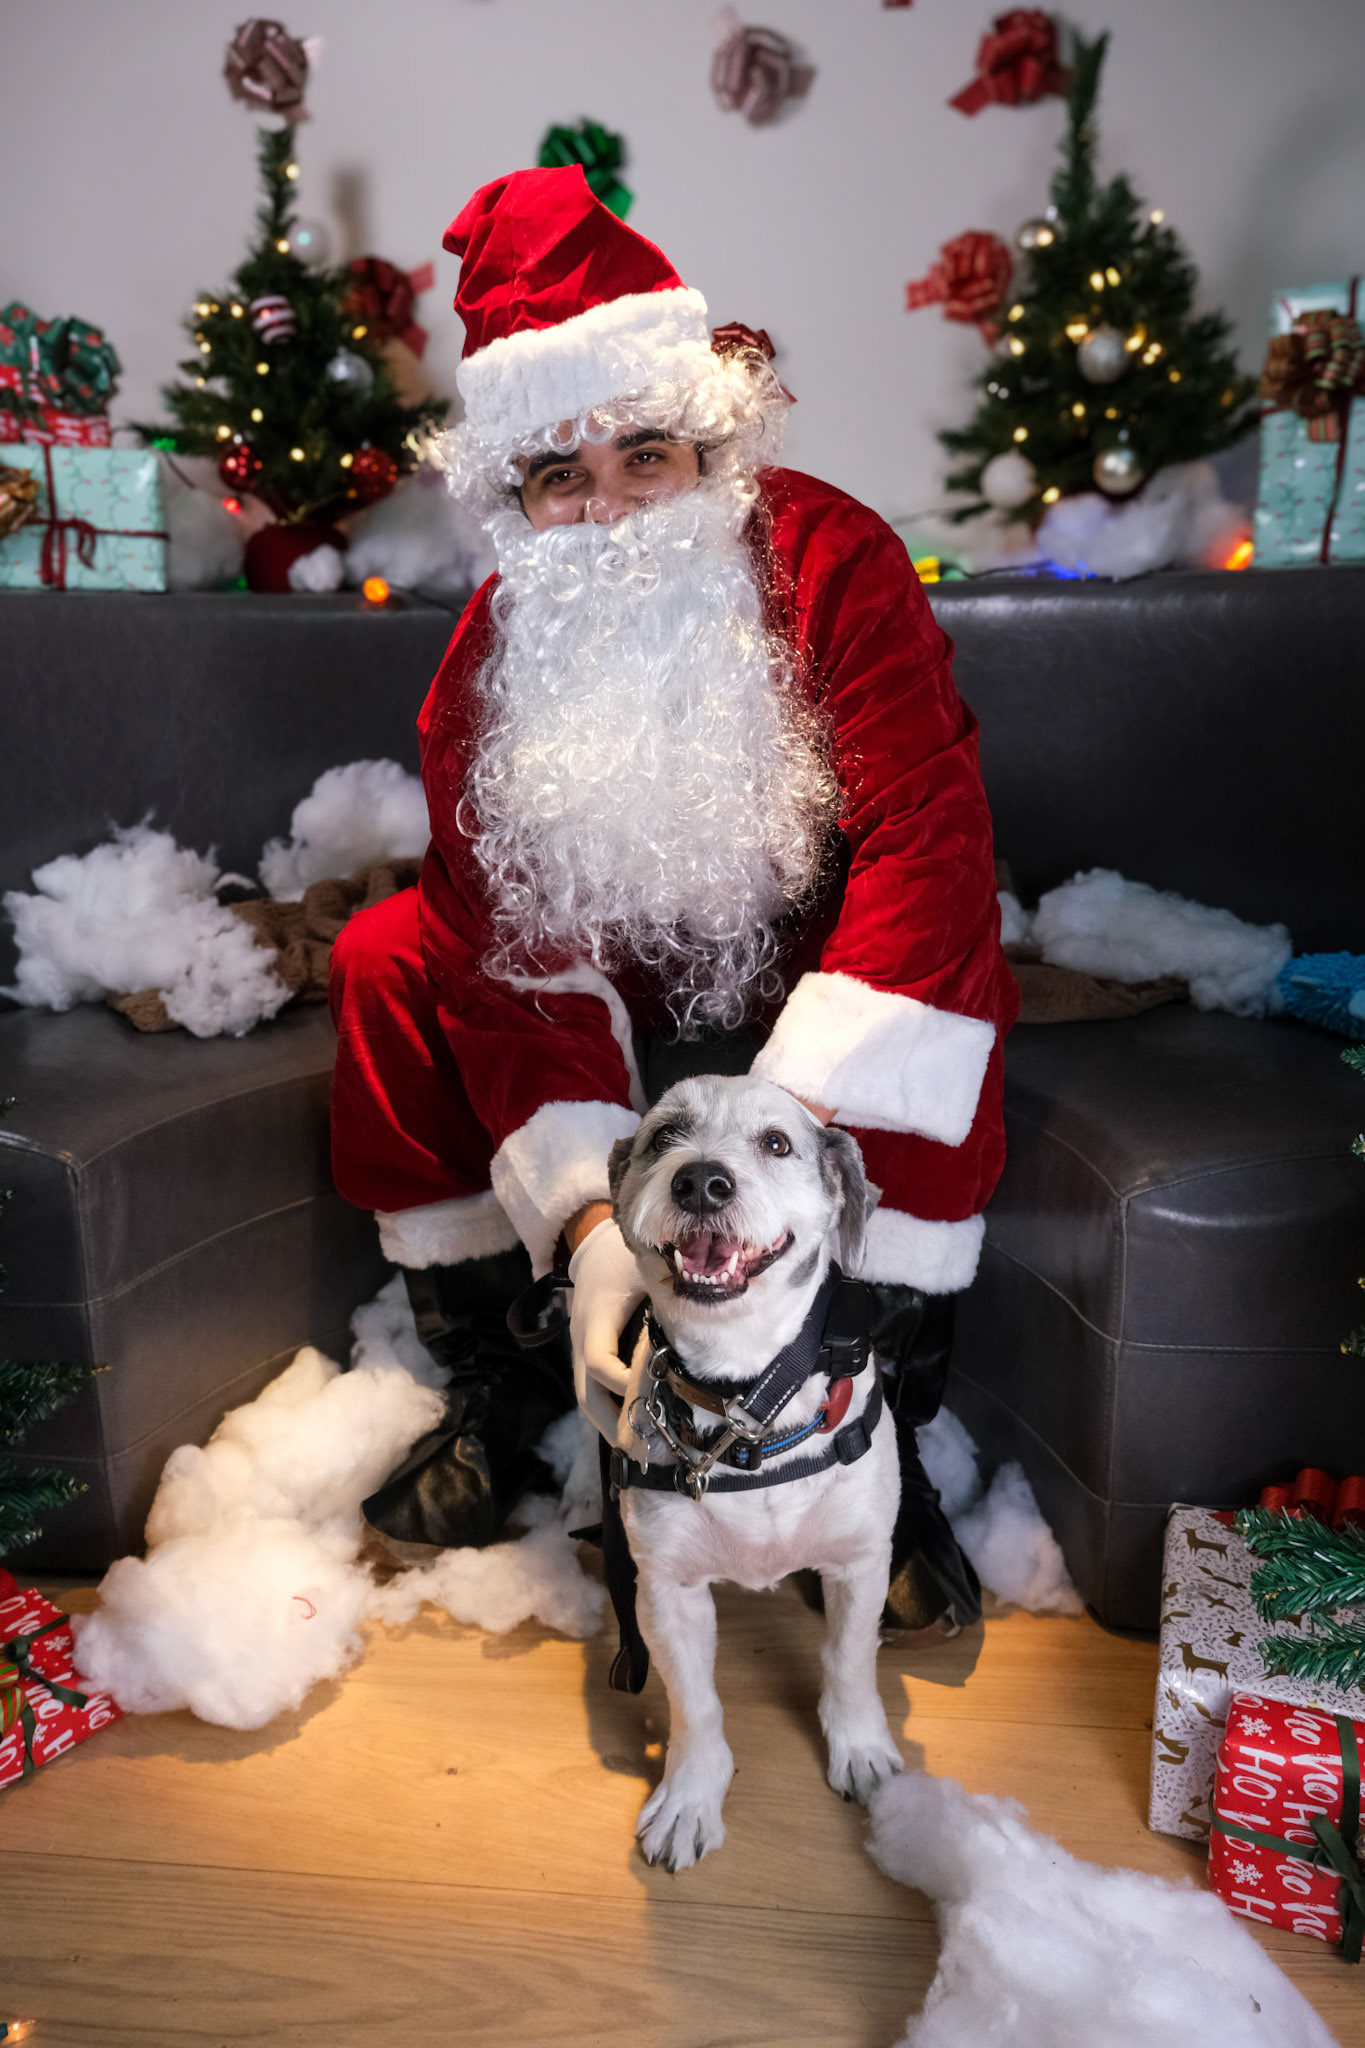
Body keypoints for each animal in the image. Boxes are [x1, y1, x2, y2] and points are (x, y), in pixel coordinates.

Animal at [605, 1073, 902, 1872]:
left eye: (775, 1142)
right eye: (665, 1137)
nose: (701, 1180)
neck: (745, 1402)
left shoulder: (861, 1562)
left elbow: (848, 1659)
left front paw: (860, 1749)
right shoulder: (667, 1591)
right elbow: (695, 1705)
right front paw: (690, 1797)